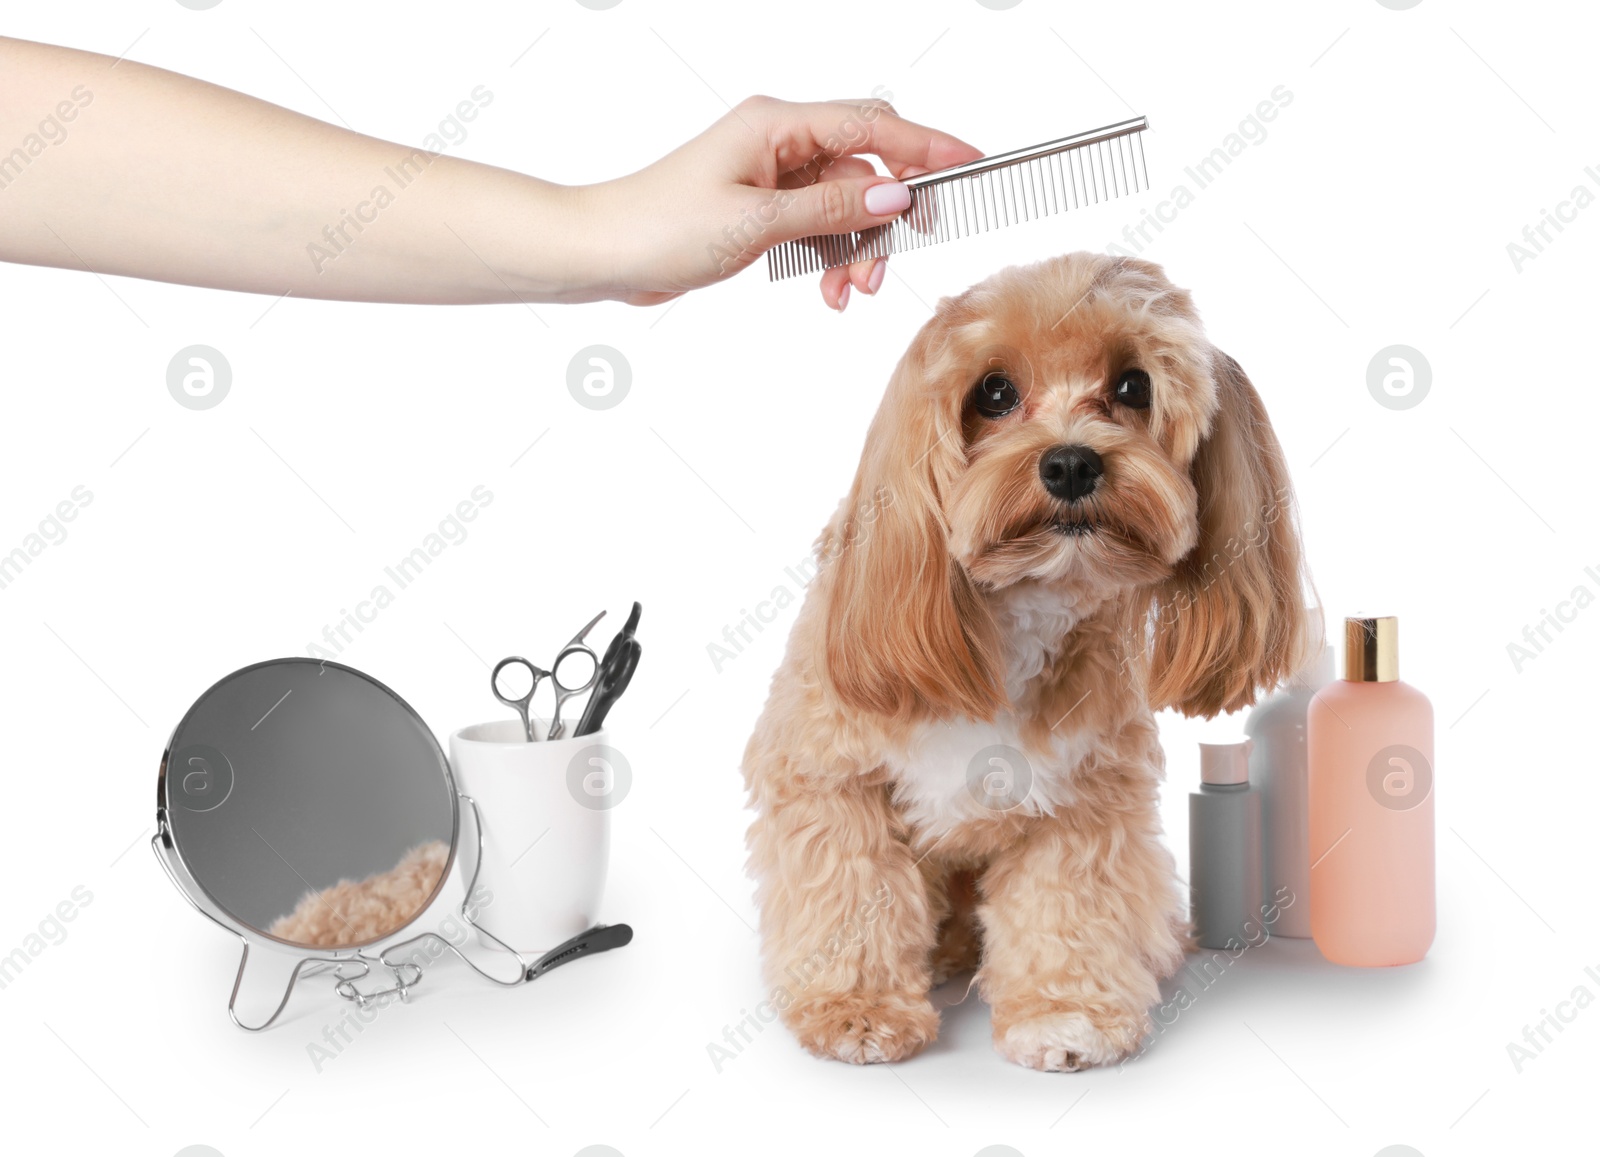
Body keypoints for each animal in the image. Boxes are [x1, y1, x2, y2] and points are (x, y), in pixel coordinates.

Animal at [742, 251, 1305, 1068]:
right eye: (995, 392)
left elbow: (1064, 908)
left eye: (1134, 386)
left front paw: (1065, 1014)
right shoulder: (831, 781)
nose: (1070, 463)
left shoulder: (1083, 802)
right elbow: (853, 897)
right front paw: (858, 1010)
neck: (1019, 613)